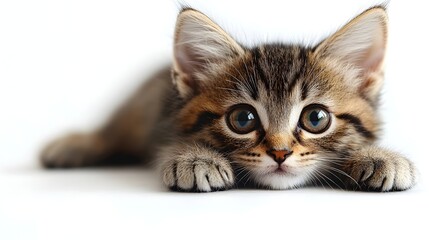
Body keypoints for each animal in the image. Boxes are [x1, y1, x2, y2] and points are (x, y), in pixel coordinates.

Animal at [39, 6, 414, 192]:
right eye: (243, 119)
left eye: (316, 119)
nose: (280, 153)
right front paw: (195, 159)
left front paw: (379, 157)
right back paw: (75, 144)